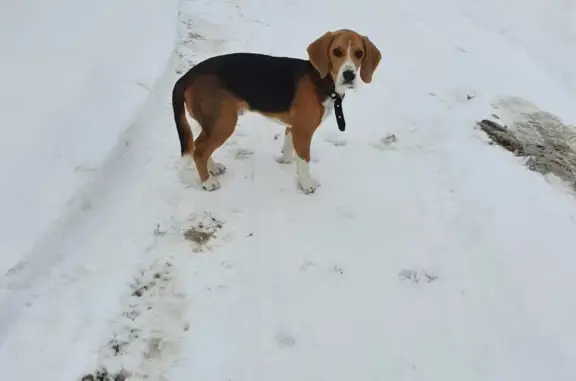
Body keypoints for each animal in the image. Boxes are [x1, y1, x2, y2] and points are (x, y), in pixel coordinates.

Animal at [171, 28, 380, 193]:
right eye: (336, 52)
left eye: (359, 53)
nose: (349, 75)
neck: (323, 80)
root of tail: (188, 75)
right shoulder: (304, 131)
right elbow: (305, 159)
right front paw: (306, 184)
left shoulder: (294, 126)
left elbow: (288, 144)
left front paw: (286, 160)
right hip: (224, 122)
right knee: (199, 150)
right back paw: (208, 182)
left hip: (213, 123)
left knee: (200, 146)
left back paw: (212, 168)